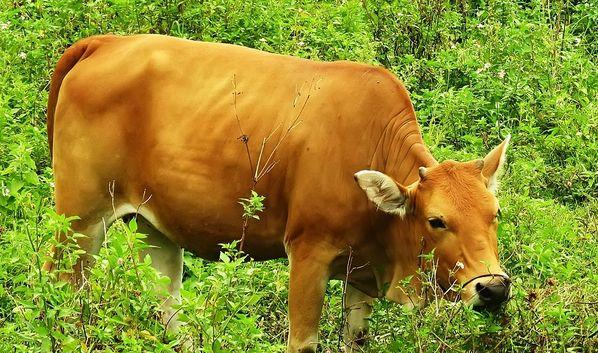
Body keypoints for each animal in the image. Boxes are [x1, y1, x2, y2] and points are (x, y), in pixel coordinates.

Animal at [44, 33, 512, 352]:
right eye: (436, 221)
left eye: (496, 214)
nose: (494, 289)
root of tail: (106, 42)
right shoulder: (308, 253)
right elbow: (301, 341)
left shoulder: (361, 269)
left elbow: (354, 339)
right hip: (80, 219)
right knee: (61, 290)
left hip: (152, 226)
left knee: (167, 305)